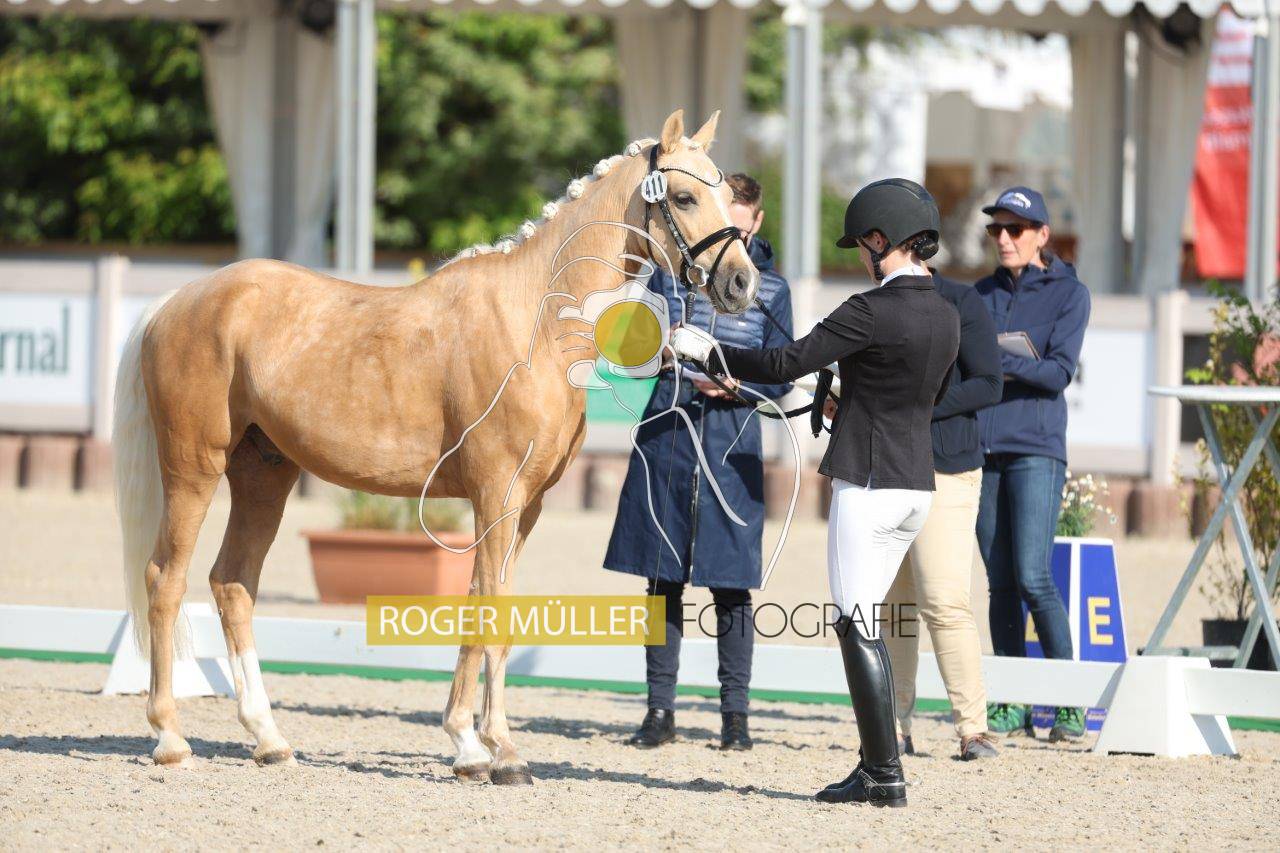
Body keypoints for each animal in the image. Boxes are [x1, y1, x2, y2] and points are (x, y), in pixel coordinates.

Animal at [111, 109, 760, 785]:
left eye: (725, 194)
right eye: (684, 197)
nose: (742, 282)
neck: (534, 321)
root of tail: (176, 301)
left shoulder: (524, 507)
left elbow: (496, 610)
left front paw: (486, 747)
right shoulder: (495, 496)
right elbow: (489, 608)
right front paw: (485, 747)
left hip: (264, 476)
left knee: (233, 584)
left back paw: (269, 739)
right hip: (193, 469)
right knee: (166, 580)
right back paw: (170, 737)